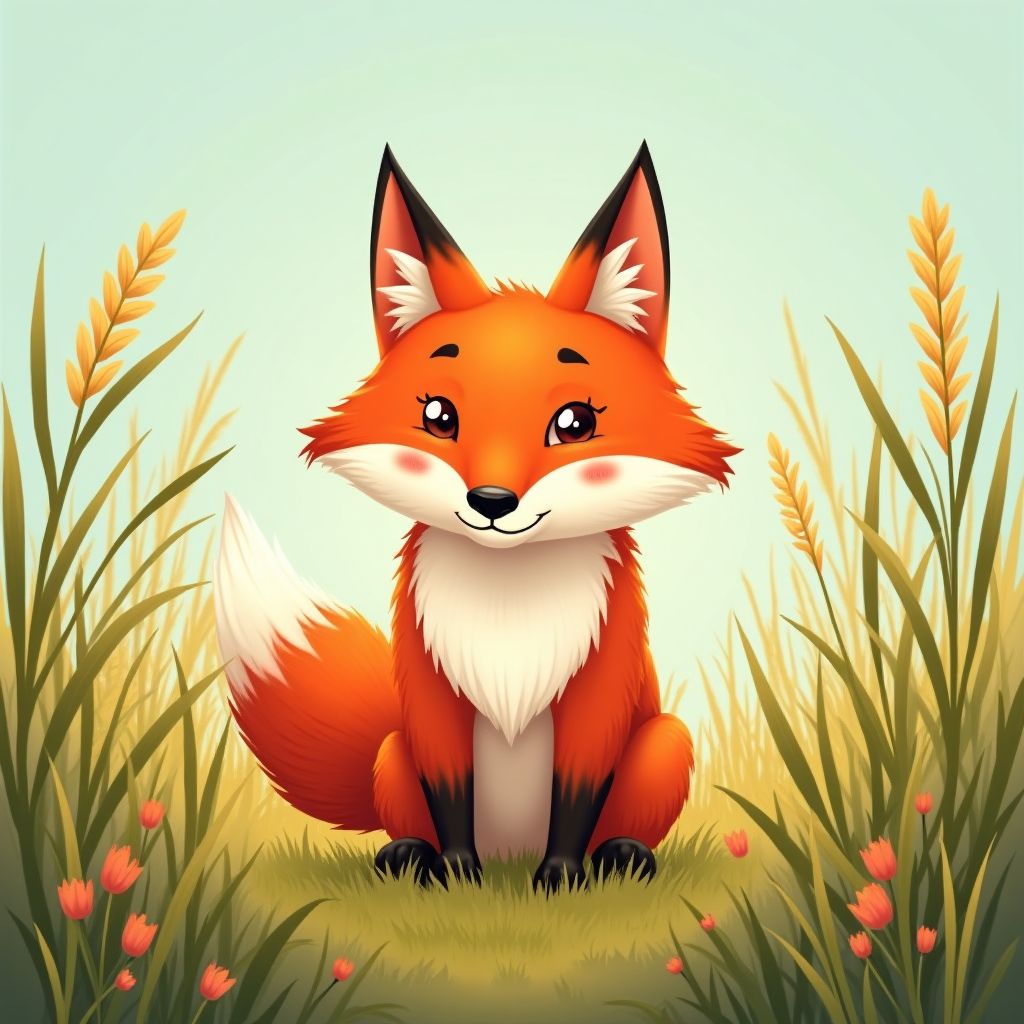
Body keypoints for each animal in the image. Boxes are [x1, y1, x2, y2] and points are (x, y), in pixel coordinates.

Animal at [214, 142, 738, 892]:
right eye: (439, 415)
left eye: (574, 422)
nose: (491, 503)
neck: (507, 610)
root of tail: (508, 848)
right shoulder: (434, 698)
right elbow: (450, 792)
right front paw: (459, 875)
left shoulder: (596, 697)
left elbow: (576, 795)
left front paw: (561, 879)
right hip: (392, 751)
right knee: (411, 818)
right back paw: (413, 857)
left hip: (665, 741)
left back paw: (622, 857)